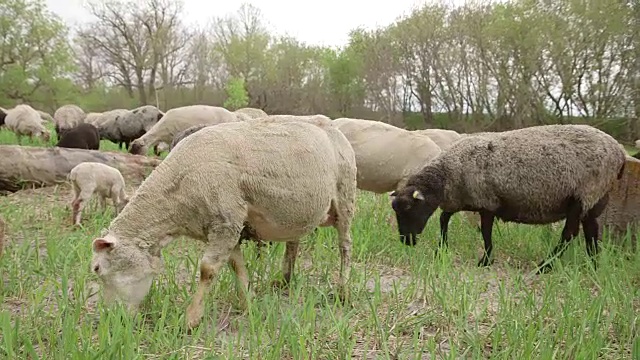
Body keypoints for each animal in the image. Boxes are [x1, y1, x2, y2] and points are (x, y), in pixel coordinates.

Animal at [90, 117, 358, 330]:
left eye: (97, 269)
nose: (111, 319)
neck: (176, 193)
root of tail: (331, 125)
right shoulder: (231, 227)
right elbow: (236, 266)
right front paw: (248, 304)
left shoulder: (225, 222)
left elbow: (207, 270)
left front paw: (191, 319)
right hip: (299, 211)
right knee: (294, 243)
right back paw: (284, 280)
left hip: (345, 197)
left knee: (345, 246)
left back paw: (343, 291)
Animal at [390, 124, 624, 272]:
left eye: (409, 209)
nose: (406, 241)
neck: (448, 174)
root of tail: (619, 152)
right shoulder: (463, 199)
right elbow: (443, 219)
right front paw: (442, 249)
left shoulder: (487, 201)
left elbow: (485, 232)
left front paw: (485, 260)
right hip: (595, 199)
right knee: (591, 231)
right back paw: (593, 266)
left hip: (583, 195)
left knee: (569, 234)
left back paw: (544, 266)